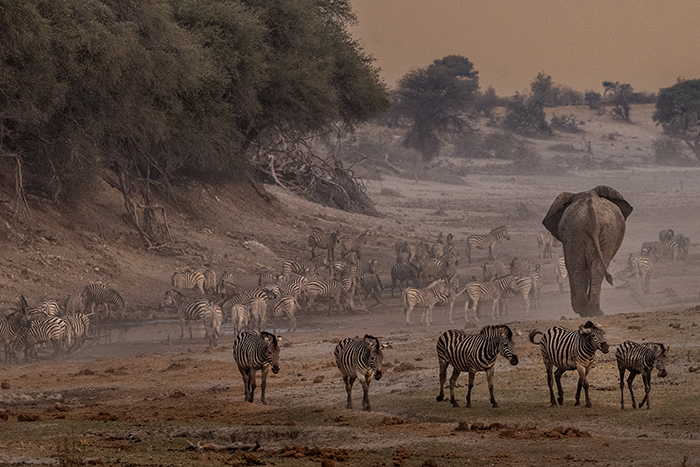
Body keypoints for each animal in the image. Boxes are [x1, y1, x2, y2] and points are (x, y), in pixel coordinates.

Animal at [542, 186, 633, 317]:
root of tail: (592, 221)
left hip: (587, 231)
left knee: (579, 267)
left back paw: (587, 311)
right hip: (585, 231)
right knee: (584, 267)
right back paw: (591, 311)